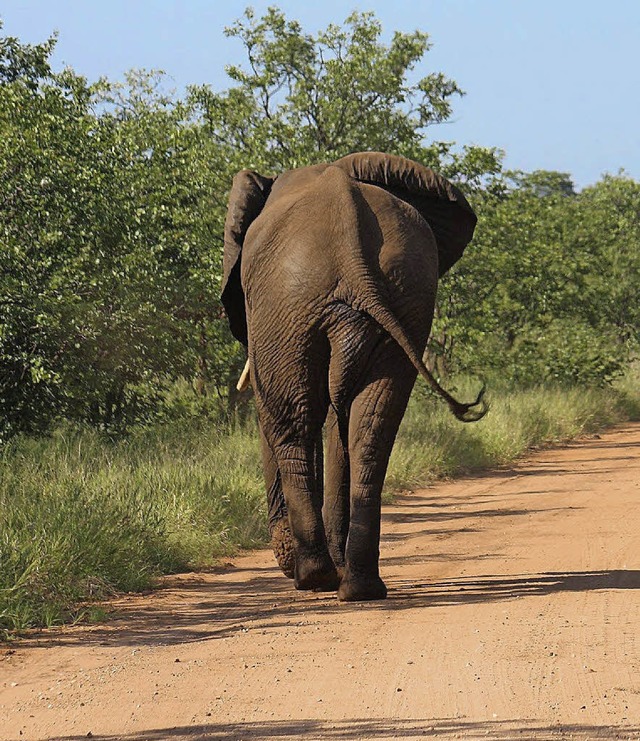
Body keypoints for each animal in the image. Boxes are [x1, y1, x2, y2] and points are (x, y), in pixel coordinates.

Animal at [221, 152, 484, 600]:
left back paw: (314, 578)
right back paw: (360, 586)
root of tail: (350, 249)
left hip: (285, 305)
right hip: (404, 294)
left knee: (290, 422)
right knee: (371, 428)